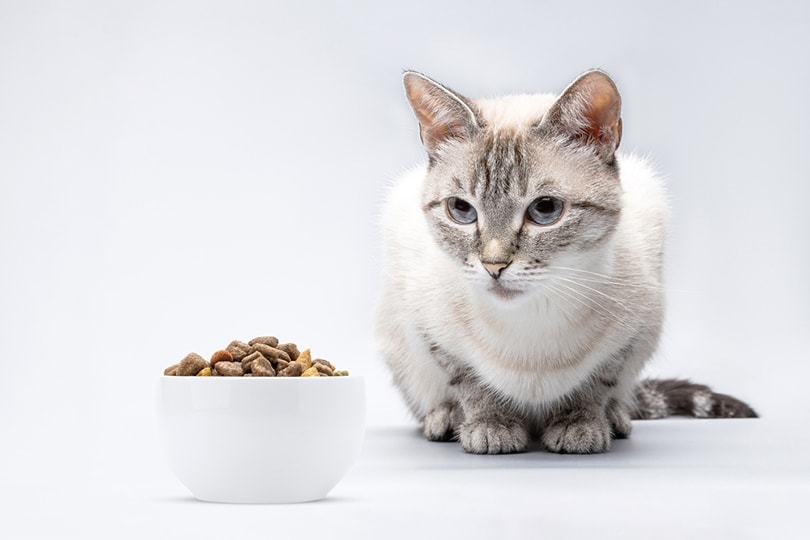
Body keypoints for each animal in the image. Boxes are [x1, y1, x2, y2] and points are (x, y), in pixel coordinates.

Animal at [376, 69, 756, 454]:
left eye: (545, 209)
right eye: (461, 210)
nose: (494, 267)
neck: (530, 319)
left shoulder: (631, 334)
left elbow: (594, 384)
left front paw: (579, 426)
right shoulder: (430, 331)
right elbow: (471, 383)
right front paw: (490, 426)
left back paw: (616, 418)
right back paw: (446, 420)